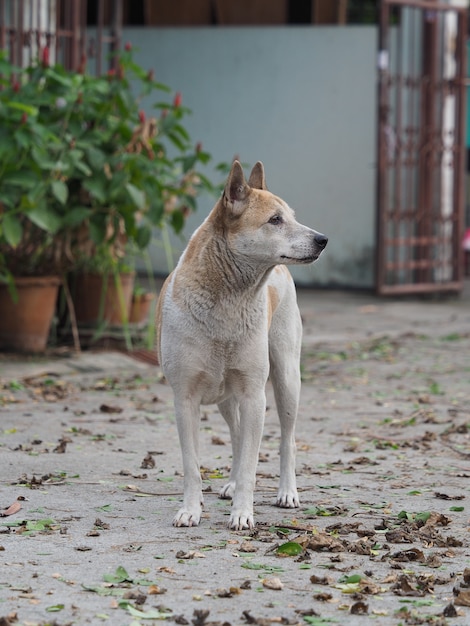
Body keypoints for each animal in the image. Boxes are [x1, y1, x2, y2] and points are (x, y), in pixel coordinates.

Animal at [156, 160, 328, 528]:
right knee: (236, 435)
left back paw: (286, 492)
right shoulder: (185, 400)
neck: (228, 300)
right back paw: (231, 484)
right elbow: (192, 464)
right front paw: (190, 510)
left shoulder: (253, 395)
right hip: (226, 396)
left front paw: (242, 514)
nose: (322, 240)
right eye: (275, 220)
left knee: (287, 440)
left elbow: (251, 462)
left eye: (291, 216)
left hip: (286, 380)